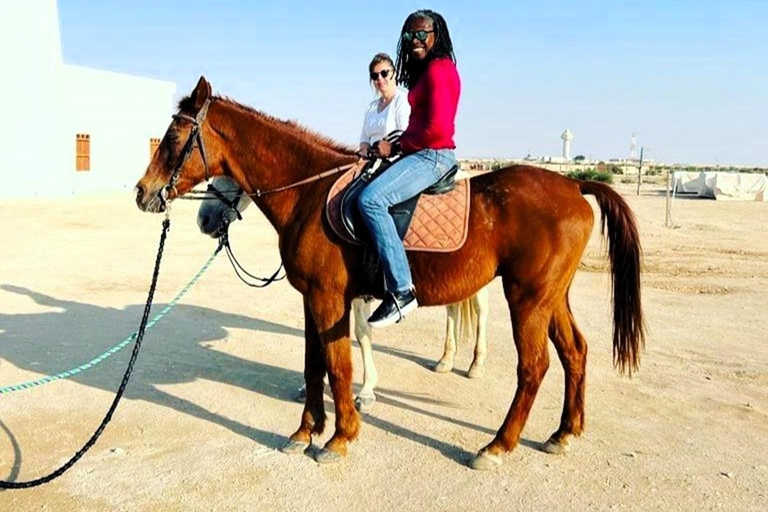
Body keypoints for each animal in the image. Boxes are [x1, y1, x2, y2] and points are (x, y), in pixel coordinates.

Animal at [196, 175, 491, 411]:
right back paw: (445, 359)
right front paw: (312, 387)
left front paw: (366, 391)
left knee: (479, 310)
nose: (204, 218)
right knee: (453, 307)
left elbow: (359, 333)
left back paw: (476, 364)